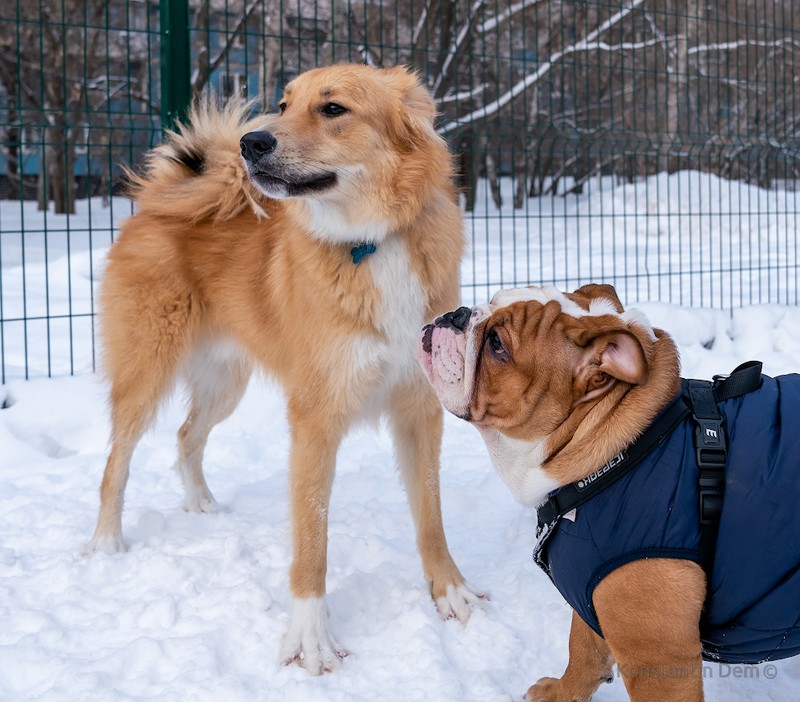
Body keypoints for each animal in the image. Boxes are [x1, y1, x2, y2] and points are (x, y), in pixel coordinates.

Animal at [86, 66, 482, 676]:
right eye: (282, 104)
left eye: (334, 109)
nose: (251, 143)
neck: (372, 242)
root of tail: (158, 202)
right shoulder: (314, 421)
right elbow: (312, 540)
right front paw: (311, 641)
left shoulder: (420, 410)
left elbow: (431, 516)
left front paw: (450, 592)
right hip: (146, 373)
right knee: (117, 462)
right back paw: (107, 542)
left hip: (226, 384)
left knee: (186, 434)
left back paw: (201, 503)